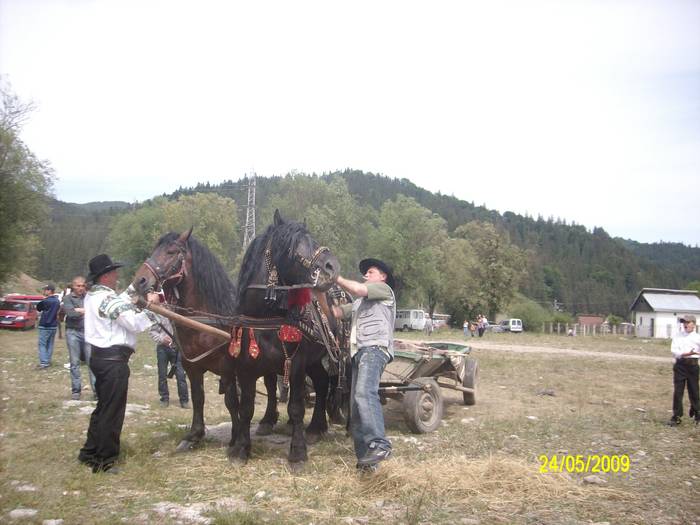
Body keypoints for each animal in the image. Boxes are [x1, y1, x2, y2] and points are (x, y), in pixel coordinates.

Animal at [228, 209, 340, 462]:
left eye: (313, 240)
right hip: (314, 360)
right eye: (290, 246)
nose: (332, 268)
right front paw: (242, 448)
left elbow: (296, 407)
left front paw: (297, 452)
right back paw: (317, 426)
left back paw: (317, 426)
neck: (265, 316)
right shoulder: (246, 366)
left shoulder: (296, 363)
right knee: (320, 382)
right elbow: (247, 407)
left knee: (326, 384)